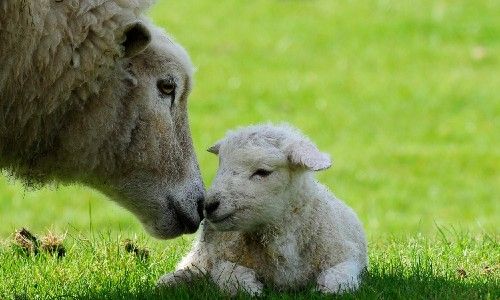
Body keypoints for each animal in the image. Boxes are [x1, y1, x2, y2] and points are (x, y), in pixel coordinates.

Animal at [158, 124, 370, 296]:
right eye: (221, 167)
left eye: (263, 172)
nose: (208, 206)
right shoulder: (223, 260)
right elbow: (232, 276)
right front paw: (252, 289)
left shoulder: (344, 256)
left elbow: (338, 280)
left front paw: (326, 289)